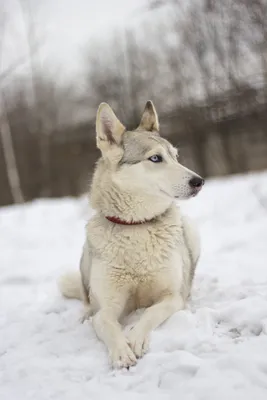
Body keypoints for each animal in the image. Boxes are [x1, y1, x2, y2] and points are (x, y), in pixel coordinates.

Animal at [59, 101, 205, 368]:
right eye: (155, 158)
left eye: (176, 157)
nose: (199, 181)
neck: (137, 226)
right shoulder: (108, 307)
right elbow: (105, 322)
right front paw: (121, 351)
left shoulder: (172, 297)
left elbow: (150, 312)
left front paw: (135, 338)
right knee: (86, 299)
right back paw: (84, 313)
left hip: (191, 229)